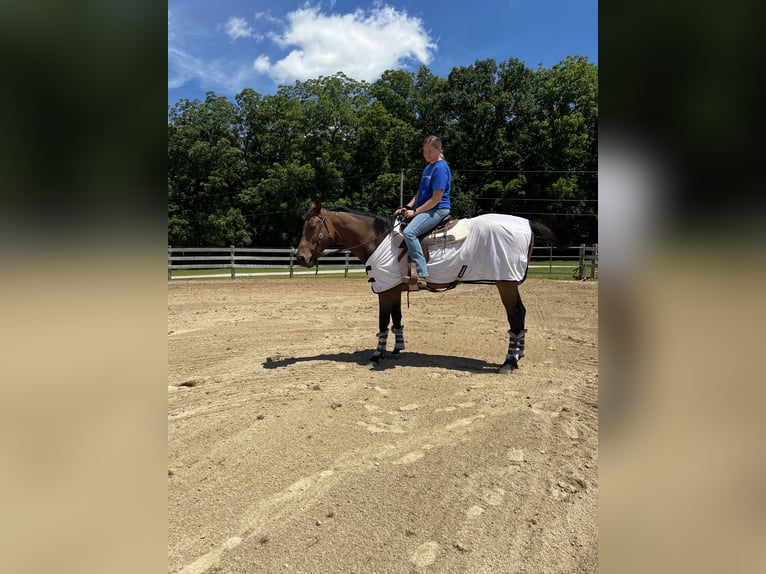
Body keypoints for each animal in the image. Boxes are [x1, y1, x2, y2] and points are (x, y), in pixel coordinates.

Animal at [296, 198, 560, 376]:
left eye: (312, 227)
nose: (301, 258)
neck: (378, 239)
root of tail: (526, 223)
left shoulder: (385, 288)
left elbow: (383, 321)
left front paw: (377, 355)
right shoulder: (395, 289)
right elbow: (397, 318)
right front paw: (397, 348)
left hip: (506, 282)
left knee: (515, 314)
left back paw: (508, 361)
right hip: (509, 283)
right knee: (521, 313)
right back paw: (518, 353)